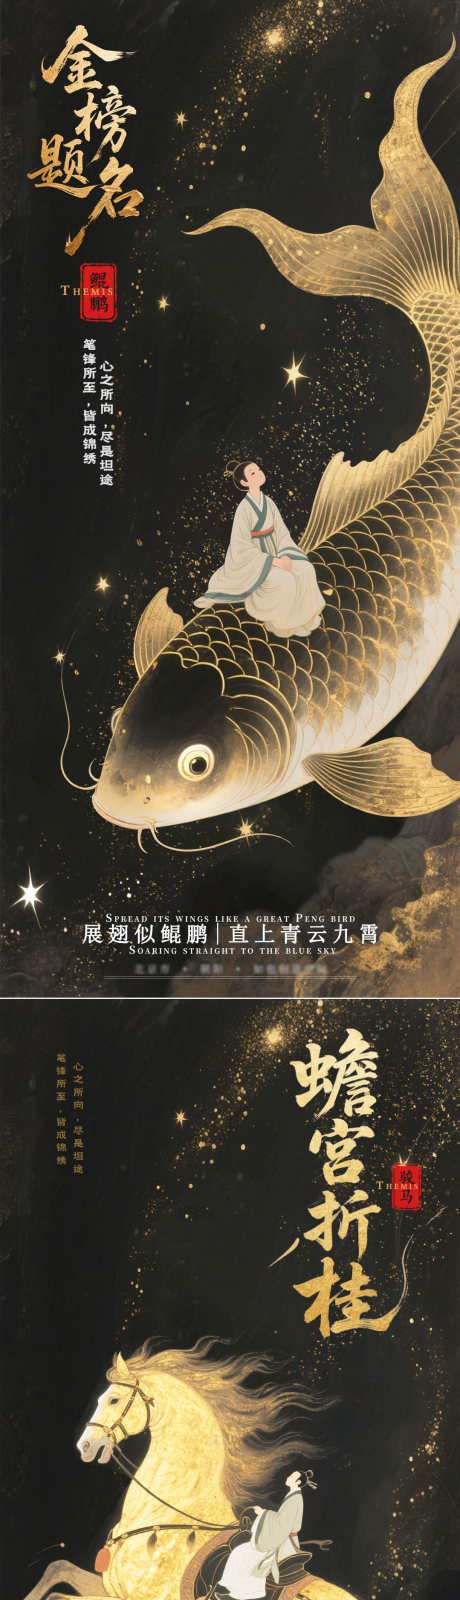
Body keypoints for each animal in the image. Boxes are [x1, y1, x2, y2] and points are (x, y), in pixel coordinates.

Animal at [23, 1339, 357, 1600]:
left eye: (114, 1399)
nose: (85, 1446)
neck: (169, 1518)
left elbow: (58, 1593)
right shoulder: (109, 1588)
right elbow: (56, 1571)